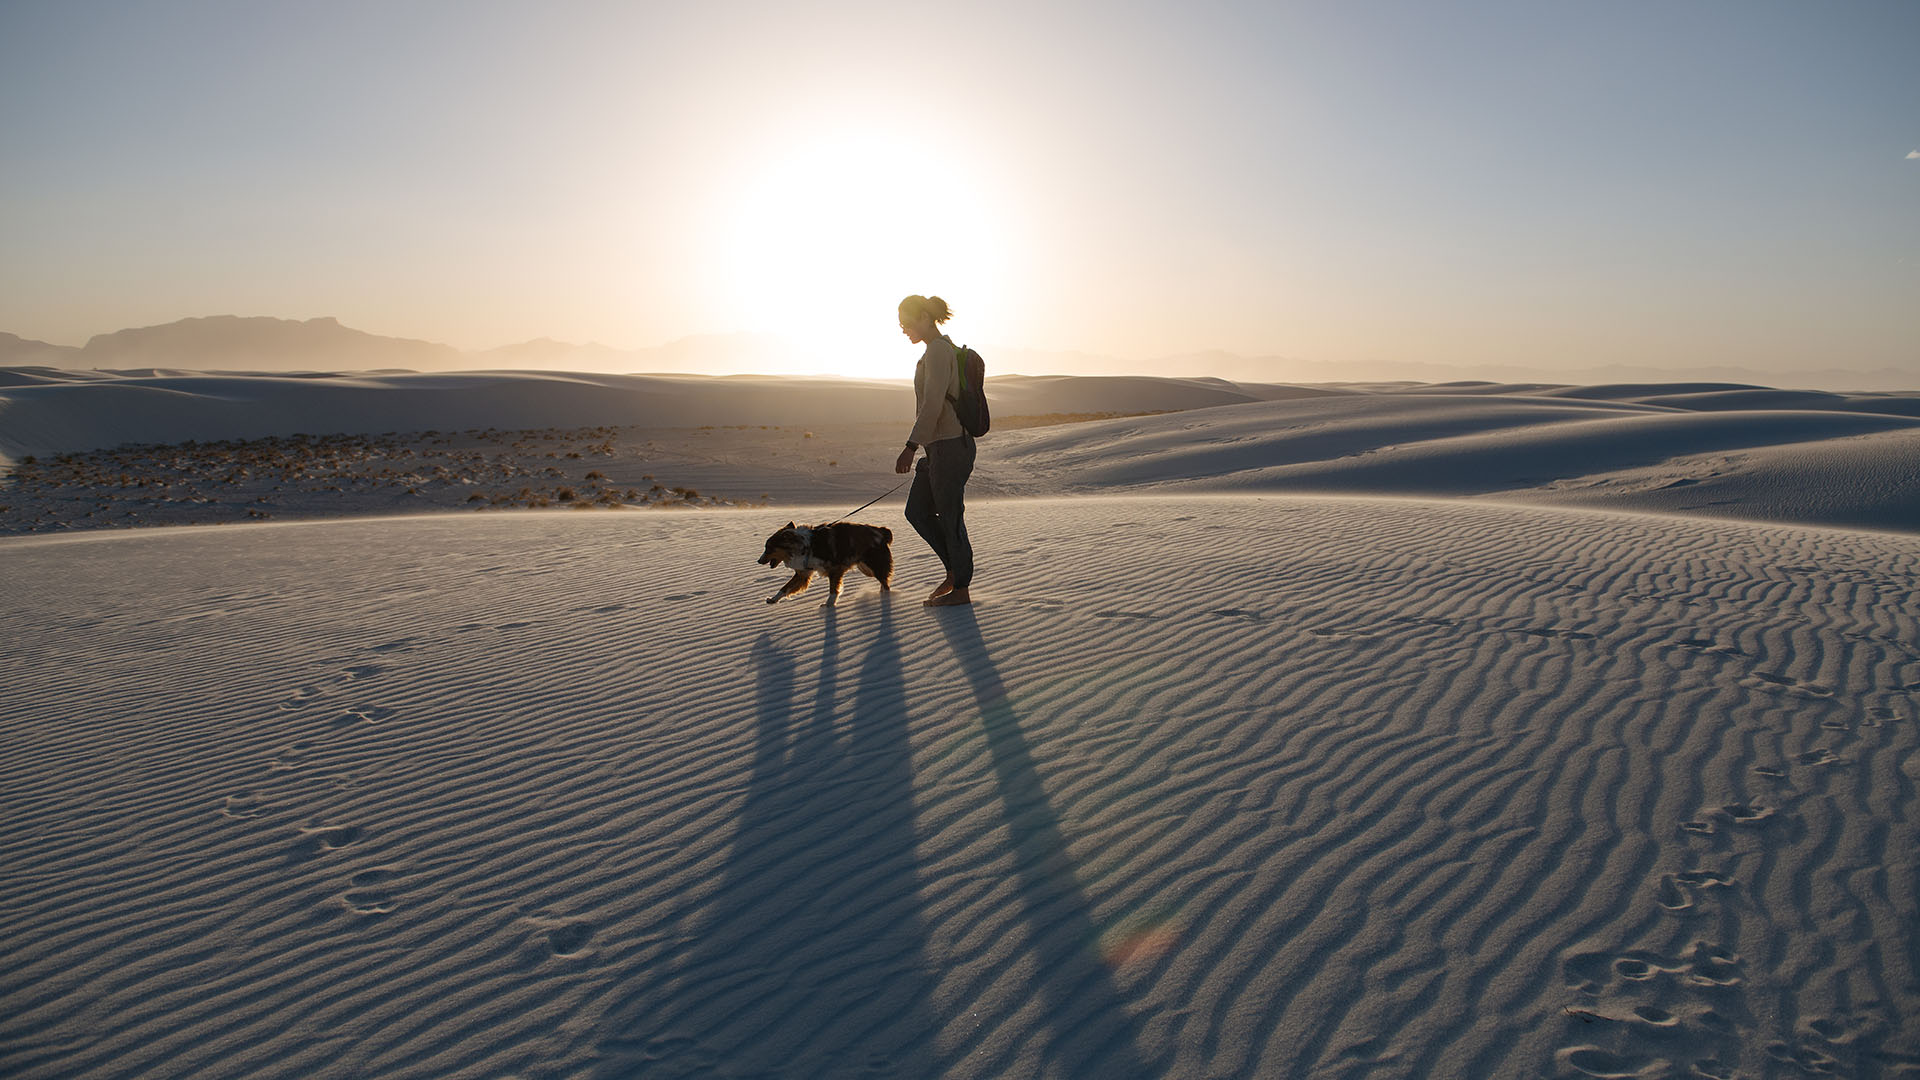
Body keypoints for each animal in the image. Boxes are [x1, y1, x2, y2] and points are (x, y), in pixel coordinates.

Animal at [756, 518, 890, 599]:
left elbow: (833, 590)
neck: (805, 546)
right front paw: (773, 599)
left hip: (874, 565)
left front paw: (829, 606)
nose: (758, 561)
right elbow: (785, 588)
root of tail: (881, 531)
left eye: (768, 548)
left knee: (885, 583)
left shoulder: (835, 569)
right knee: (884, 582)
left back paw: (886, 599)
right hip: (865, 568)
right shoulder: (803, 573)